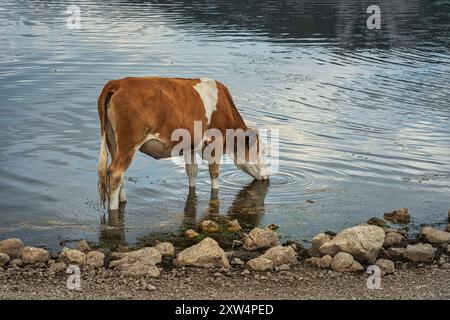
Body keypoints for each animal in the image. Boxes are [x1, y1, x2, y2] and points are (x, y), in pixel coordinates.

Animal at [96, 76, 268, 211]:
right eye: (262, 151)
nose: (268, 176)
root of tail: (118, 82)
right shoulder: (215, 141)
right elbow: (214, 173)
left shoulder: (189, 145)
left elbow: (192, 171)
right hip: (129, 142)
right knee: (116, 171)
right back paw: (113, 208)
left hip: (112, 141)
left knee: (116, 172)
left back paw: (123, 200)